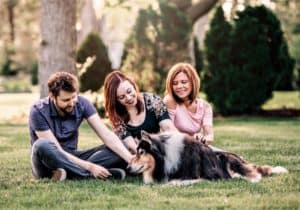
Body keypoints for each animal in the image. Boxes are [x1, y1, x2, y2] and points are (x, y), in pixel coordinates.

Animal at [126, 131, 288, 185]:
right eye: (136, 151)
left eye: (141, 152)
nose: (127, 167)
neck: (164, 156)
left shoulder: (202, 176)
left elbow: (178, 182)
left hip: (226, 159)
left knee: (253, 173)